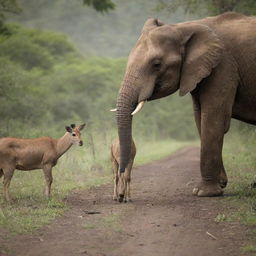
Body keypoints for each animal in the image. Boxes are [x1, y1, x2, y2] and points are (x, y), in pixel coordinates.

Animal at [115, 11, 256, 196]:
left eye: (156, 64)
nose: (122, 171)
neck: (183, 27)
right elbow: (200, 118)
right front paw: (220, 184)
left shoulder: (223, 66)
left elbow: (213, 119)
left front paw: (204, 193)